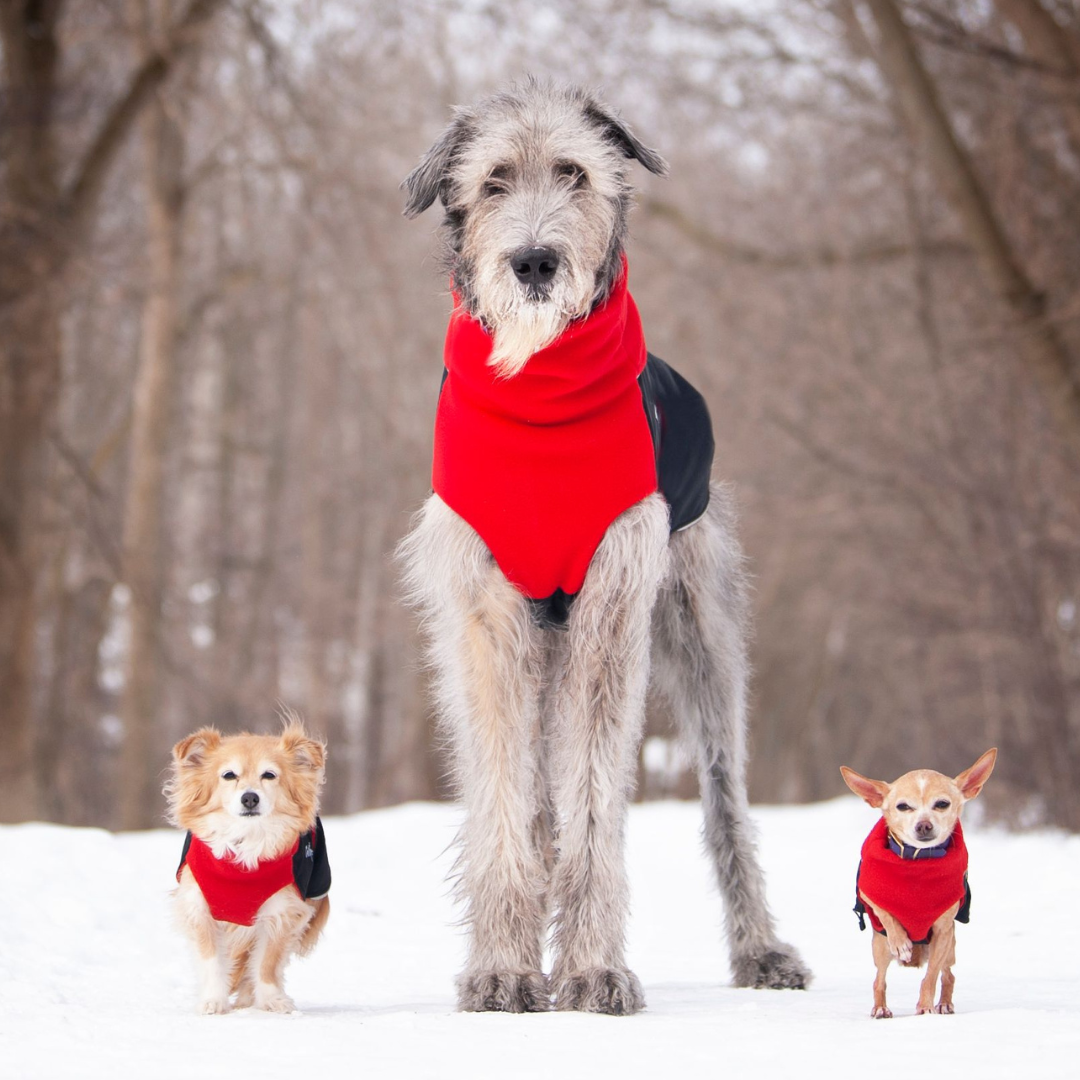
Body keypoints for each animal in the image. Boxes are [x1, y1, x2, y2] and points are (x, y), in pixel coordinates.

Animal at [165, 721, 328, 1015]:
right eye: (229, 775)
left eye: (269, 775)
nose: (250, 798)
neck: (246, 841)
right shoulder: (199, 907)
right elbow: (211, 959)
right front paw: (213, 1000)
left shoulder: (283, 910)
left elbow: (267, 962)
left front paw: (271, 999)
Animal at [399, 78, 812, 1010]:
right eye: (494, 182)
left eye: (575, 174)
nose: (535, 262)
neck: (540, 396)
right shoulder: (485, 616)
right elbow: (506, 796)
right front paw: (505, 966)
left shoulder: (614, 603)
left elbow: (594, 793)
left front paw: (590, 967)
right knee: (537, 799)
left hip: (702, 632)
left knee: (723, 801)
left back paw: (760, 950)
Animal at [838, 747, 997, 1015]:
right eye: (903, 807)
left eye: (942, 804)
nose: (924, 825)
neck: (918, 862)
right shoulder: (869, 893)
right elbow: (886, 914)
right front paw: (901, 942)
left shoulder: (943, 932)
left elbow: (930, 977)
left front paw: (925, 1007)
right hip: (880, 948)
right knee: (879, 979)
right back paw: (880, 1008)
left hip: (949, 948)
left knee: (948, 975)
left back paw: (943, 1003)